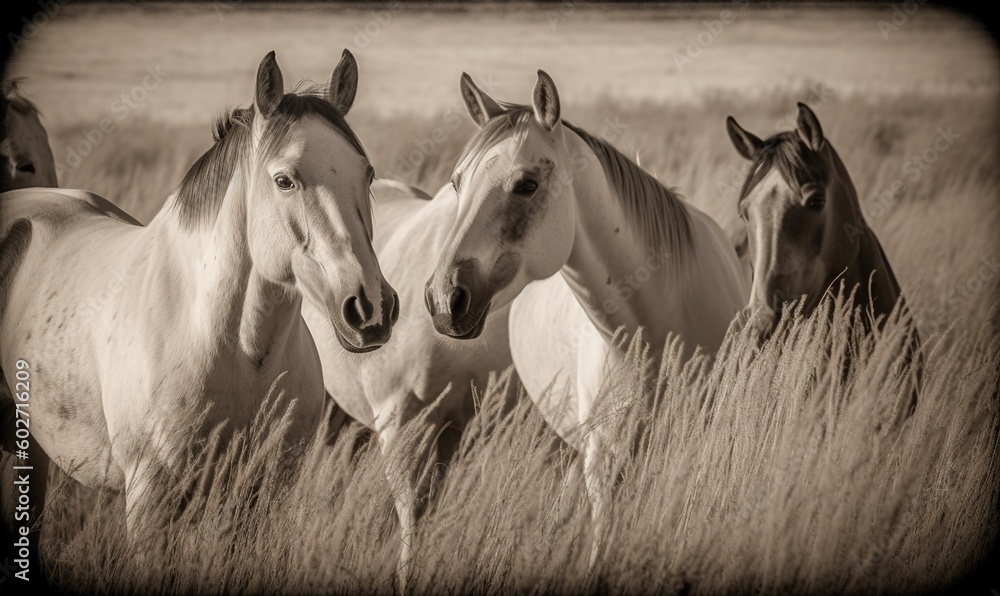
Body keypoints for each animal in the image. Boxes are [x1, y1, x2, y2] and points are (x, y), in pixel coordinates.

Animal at [0, 50, 398, 553]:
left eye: (367, 173)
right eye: (284, 180)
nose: (371, 308)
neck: (239, 349)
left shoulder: (264, 496)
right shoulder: (151, 499)